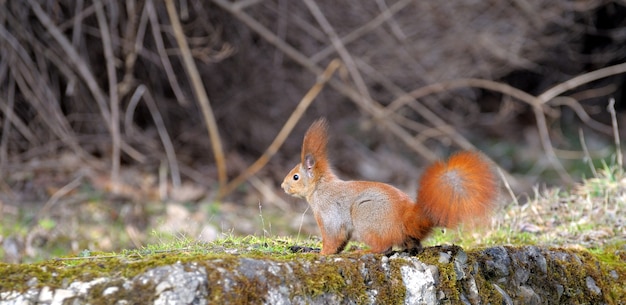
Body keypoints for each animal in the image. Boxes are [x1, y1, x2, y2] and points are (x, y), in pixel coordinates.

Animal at [280, 119, 494, 254]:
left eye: (296, 177)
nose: (282, 186)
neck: (320, 187)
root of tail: (406, 218)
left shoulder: (328, 213)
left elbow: (333, 238)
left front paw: (321, 254)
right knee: (413, 247)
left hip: (365, 215)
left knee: (383, 249)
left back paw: (360, 251)